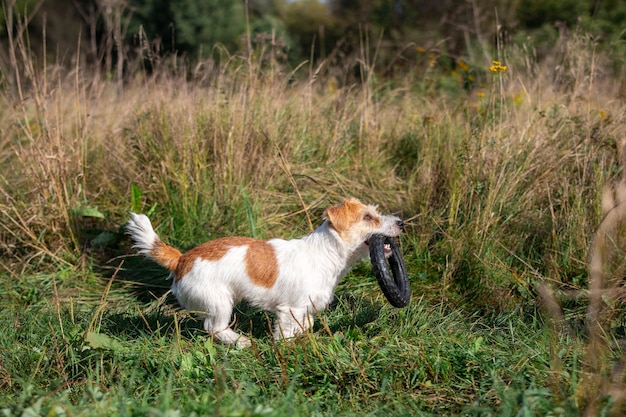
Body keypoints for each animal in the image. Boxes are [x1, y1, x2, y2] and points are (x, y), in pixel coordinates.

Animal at [125, 197, 404, 346]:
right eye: (368, 218)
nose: (401, 222)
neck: (324, 253)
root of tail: (181, 259)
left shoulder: (305, 311)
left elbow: (307, 325)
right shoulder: (291, 310)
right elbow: (286, 333)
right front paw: (287, 348)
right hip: (220, 302)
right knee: (213, 327)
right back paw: (241, 342)